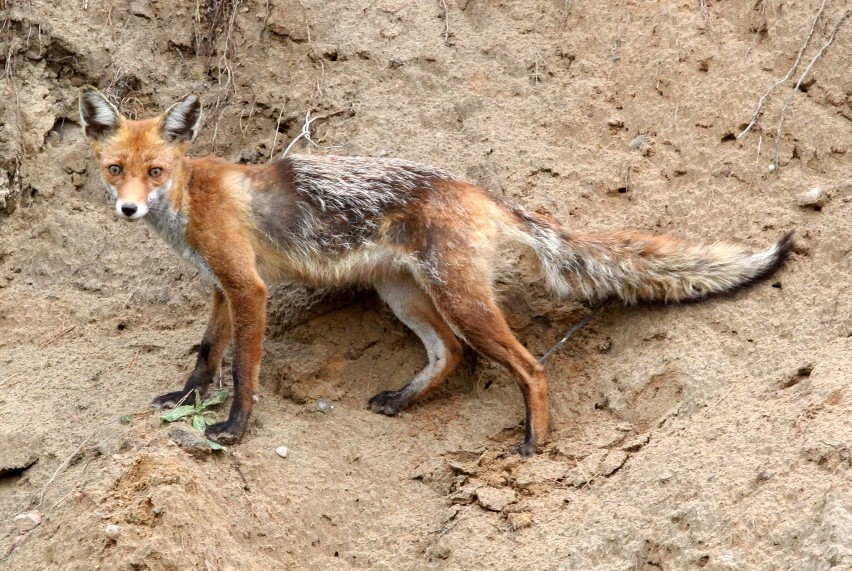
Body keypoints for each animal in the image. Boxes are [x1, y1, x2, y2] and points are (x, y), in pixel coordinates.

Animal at [76, 87, 796, 458]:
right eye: (115, 169)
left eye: (155, 170)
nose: (129, 208)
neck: (194, 199)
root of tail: (479, 190)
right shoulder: (222, 287)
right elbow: (207, 352)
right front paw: (185, 400)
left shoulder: (248, 288)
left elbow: (243, 369)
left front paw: (231, 429)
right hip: (405, 295)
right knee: (447, 354)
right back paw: (401, 399)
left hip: (461, 299)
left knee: (528, 366)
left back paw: (534, 441)